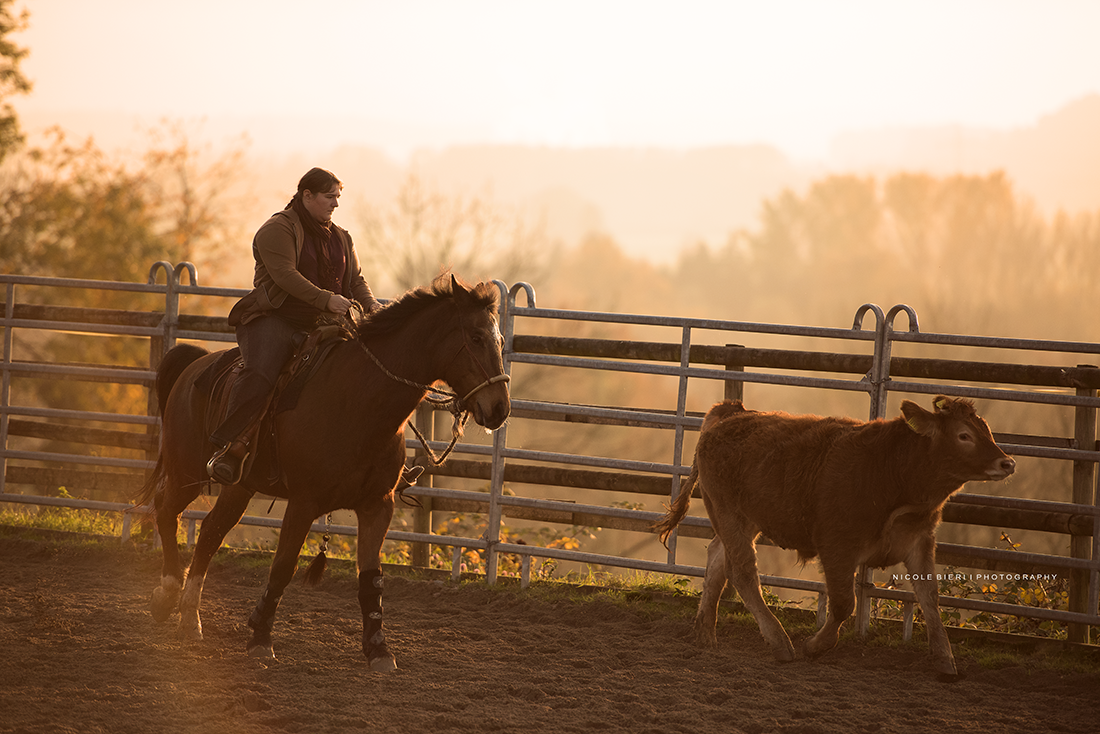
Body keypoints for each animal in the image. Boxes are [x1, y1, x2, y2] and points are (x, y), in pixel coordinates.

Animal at [136, 274, 511, 671]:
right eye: (475, 337)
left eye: (501, 340)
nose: (500, 408)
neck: (358, 400)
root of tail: (194, 365)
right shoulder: (303, 503)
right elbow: (282, 567)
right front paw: (260, 639)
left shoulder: (378, 505)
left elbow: (371, 578)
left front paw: (378, 649)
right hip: (185, 473)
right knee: (166, 512)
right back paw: (167, 594)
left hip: (238, 486)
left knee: (209, 533)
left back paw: (189, 617)